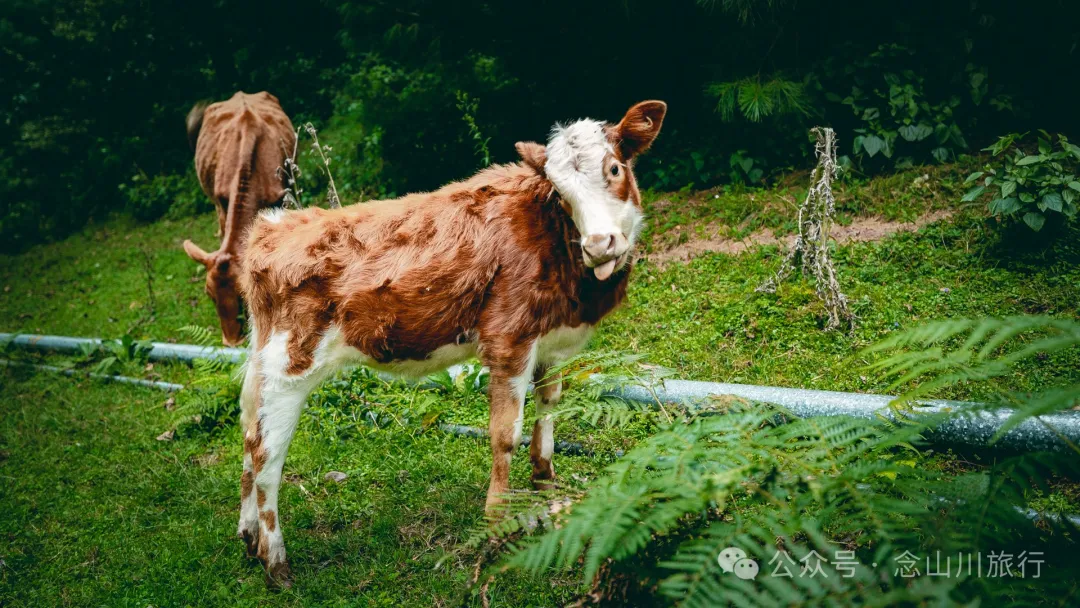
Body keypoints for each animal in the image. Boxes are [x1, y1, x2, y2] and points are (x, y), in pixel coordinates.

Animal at [236, 100, 667, 587]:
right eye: (559, 193)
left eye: (614, 168)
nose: (599, 244)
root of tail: (273, 227)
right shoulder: (509, 340)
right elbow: (505, 435)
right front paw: (496, 526)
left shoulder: (552, 345)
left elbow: (548, 417)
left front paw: (545, 489)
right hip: (292, 364)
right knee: (266, 452)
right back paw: (275, 561)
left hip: (263, 356)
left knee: (248, 432)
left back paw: (249, 537)